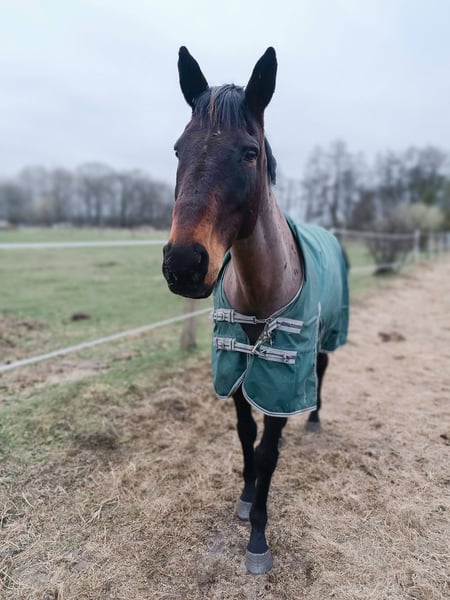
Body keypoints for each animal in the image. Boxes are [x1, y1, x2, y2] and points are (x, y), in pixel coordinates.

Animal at [162, 46, 349, 574]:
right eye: (179, 150)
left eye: (249, 152)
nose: (183, 264)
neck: (259, 292)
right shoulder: (237, 368)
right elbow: (247, 435)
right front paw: (246, 499)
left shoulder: (281, 376)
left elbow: (268, 451)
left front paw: (259, 539)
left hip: (325, 337)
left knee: (321, 370)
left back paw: (314, 420)